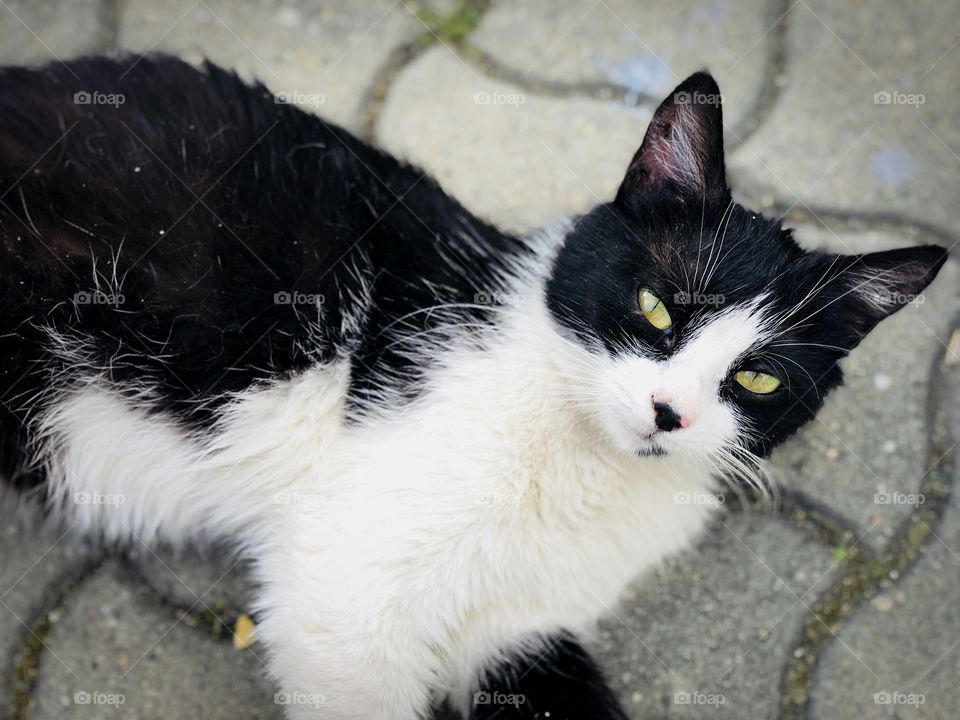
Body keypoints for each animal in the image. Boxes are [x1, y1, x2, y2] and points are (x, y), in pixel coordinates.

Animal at [0, 57, 944, 720]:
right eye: (655, 307)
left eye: (756, 376)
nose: (667, 413)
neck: (585, 468)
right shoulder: (345, 589)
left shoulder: (515, 629)